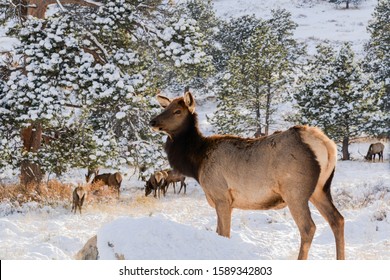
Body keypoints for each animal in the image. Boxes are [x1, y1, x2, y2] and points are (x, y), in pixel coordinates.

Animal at [149, 92, 344, 260]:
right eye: (165, 107)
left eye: (177, 111)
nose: (152, 121)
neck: (197, 163)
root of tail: (326, 144)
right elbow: (219, 232)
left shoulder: (221, 197)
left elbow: (224, 233)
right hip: (320, 189)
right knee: (337, 219)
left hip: (295, 191)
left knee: (308, 227)